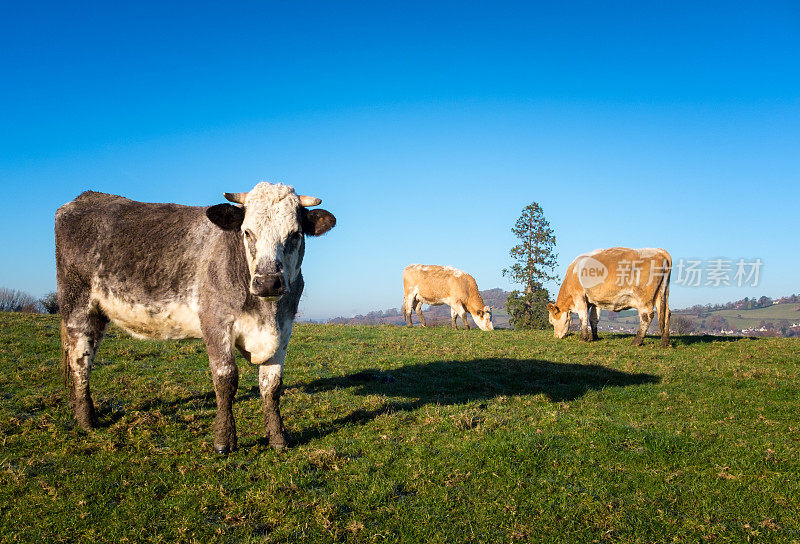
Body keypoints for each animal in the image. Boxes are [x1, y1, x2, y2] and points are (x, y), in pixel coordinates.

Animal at [54, 181, 334, 452]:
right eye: (247, 232)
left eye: (295, 234)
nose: (267, 283)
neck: (265, 313)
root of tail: (84, 198)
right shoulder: (215, 322)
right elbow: (226, 379)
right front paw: (223, 440)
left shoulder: (283, 329)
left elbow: (272, 386)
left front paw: (278, 438)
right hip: (76, 306)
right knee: (80, 361)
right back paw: (86, 420)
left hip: (98, 315)